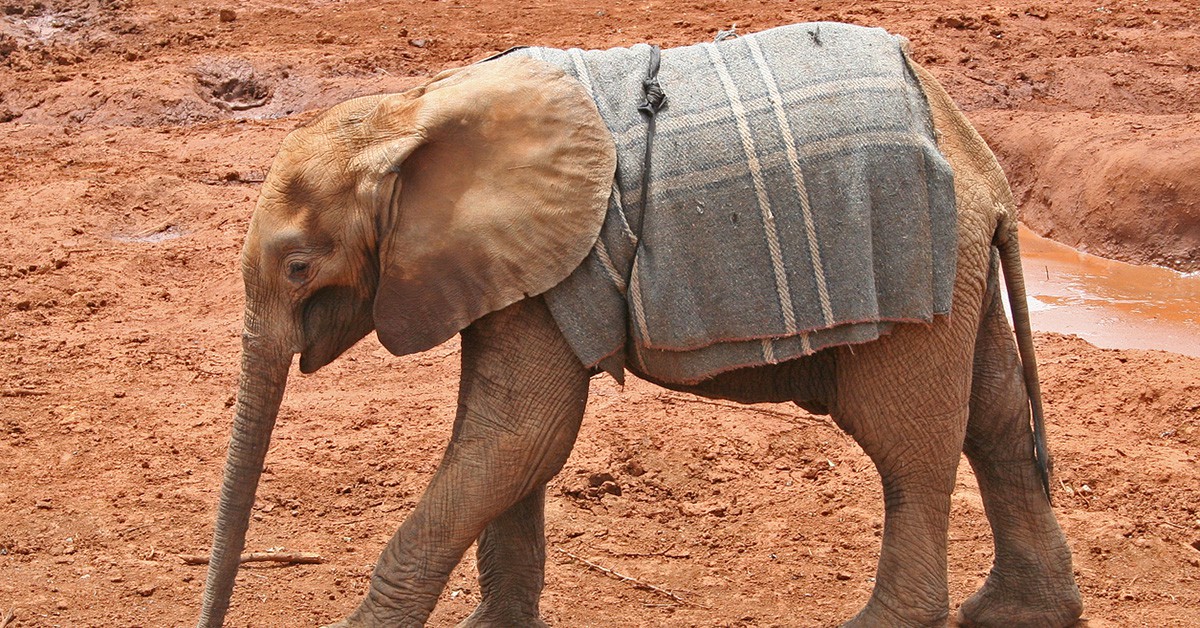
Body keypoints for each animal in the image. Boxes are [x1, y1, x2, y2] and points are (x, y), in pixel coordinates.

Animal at [196, 24, 1083, 628]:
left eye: (298, 267)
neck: (410, 111)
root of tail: (986, 166)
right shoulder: (517, 267)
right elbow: (513, 444)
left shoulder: (557, 257)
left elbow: (519, 435)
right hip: (960, 268)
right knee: (998, 421)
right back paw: (1012, 614)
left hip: (916, 274)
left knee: (909, 445)